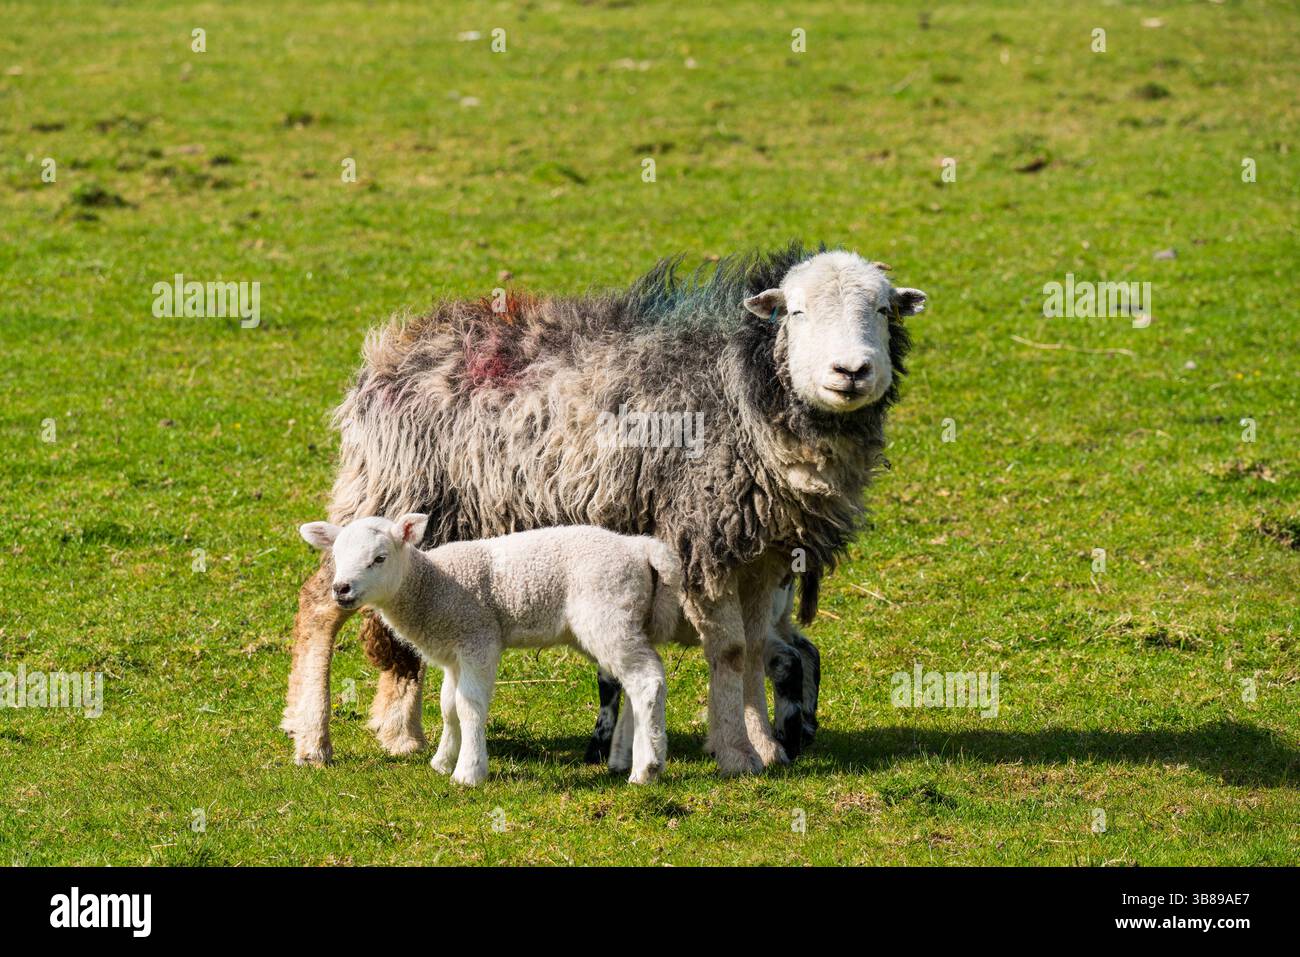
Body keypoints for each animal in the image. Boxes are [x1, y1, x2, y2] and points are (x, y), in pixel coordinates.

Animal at [299, 514, 682, 785]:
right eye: (336, 556)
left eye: (379, 558)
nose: (341, 588)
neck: (431, 586)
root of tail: (640, 548)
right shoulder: (453, 652)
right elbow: (448, 707)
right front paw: (442, 761)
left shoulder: (478, 638)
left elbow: (469, 706)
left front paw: (468, 772)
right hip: (621, 619)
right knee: (634, 682)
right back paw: (625, 758)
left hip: (608, 612)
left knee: (647, 681)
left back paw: (647, 768)